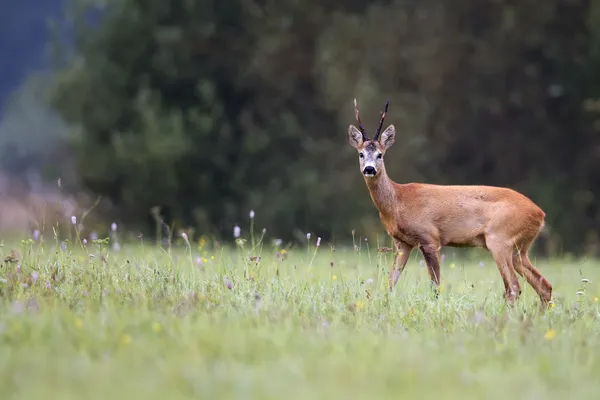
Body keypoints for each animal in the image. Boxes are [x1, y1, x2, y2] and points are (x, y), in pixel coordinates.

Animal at [346, 98, 552, 308]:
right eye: (361, 154)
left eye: (380, 154)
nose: (369, 169)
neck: (398, 201)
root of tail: (540, 214)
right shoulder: (402, 243)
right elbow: (391, 283)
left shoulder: (430, 238)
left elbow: (435, 286)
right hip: (520, 249)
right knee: (544, 286)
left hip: (500, 239)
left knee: (513, 288)